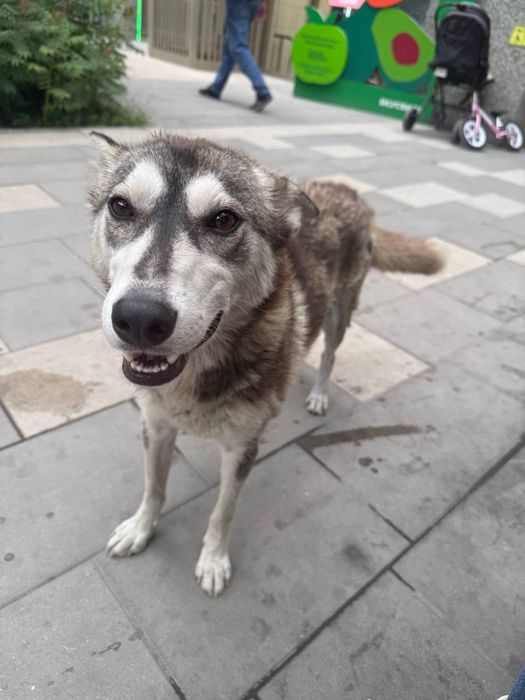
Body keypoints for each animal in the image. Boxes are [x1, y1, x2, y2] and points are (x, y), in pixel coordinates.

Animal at [88, 131, 443, 597]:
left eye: (223, 220)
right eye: (121, 206)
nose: (140, 318)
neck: (197, 375)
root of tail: (348, 191)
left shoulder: (242, 448)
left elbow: (222, 511)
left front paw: (214, 560)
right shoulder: (156, 425)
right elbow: (154, 487)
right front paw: (141, 528)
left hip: (341, 314)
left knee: (328, 355)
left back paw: (318, 393)